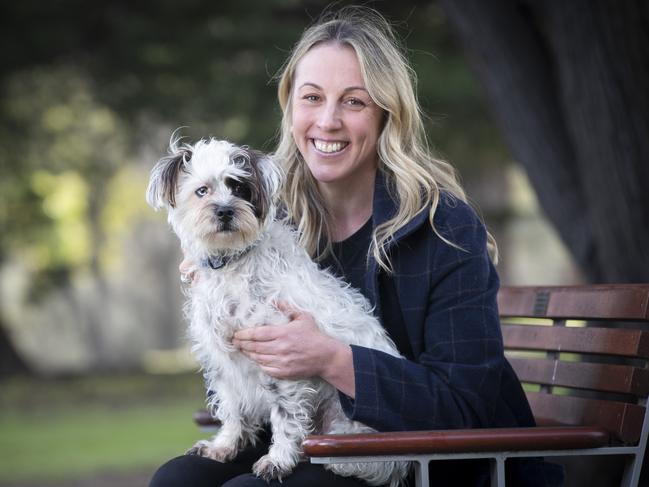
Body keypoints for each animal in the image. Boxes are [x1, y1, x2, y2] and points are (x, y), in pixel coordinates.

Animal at [146, 137, 408, 487]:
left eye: (240, 187)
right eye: (202, 190)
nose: (226, 211)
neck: (232, 262)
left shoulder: (282, 359)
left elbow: (285, 417)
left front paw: (278, 460)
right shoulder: (222, 360)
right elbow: (231, 408)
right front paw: (223, 446)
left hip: (346, 424)